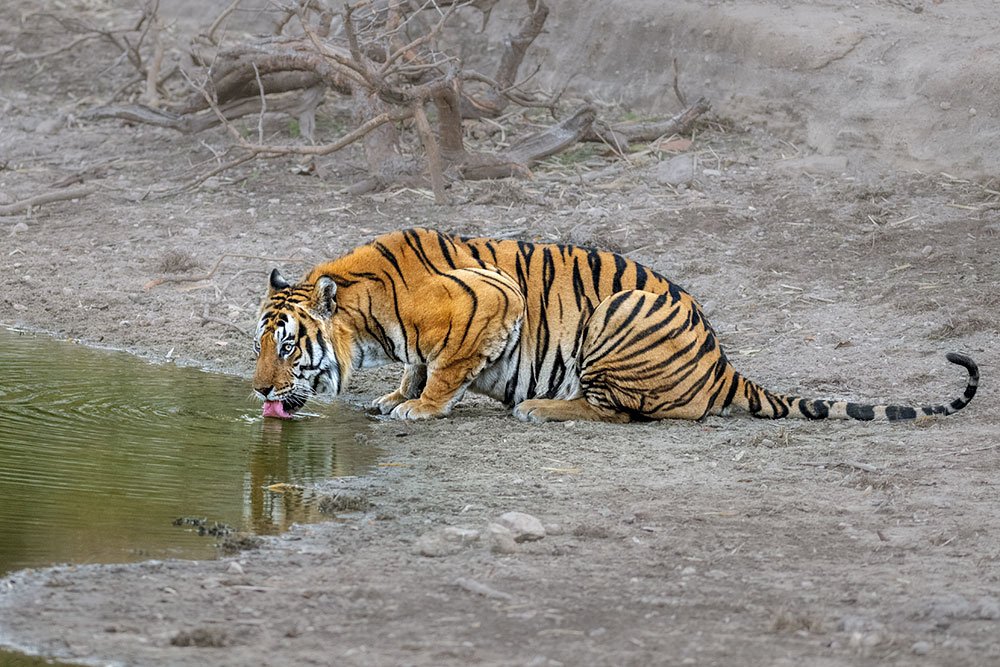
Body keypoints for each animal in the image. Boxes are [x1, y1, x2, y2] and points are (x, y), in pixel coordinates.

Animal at [252, 228, 978, 423]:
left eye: (288, 348)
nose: (257, 390)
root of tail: (723, 364)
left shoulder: (492, 301)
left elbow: (444, 367)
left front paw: (418, 408)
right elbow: (417, 363)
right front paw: (394, 395)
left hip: (616, 317)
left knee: (626, 411)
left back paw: (540, 408)